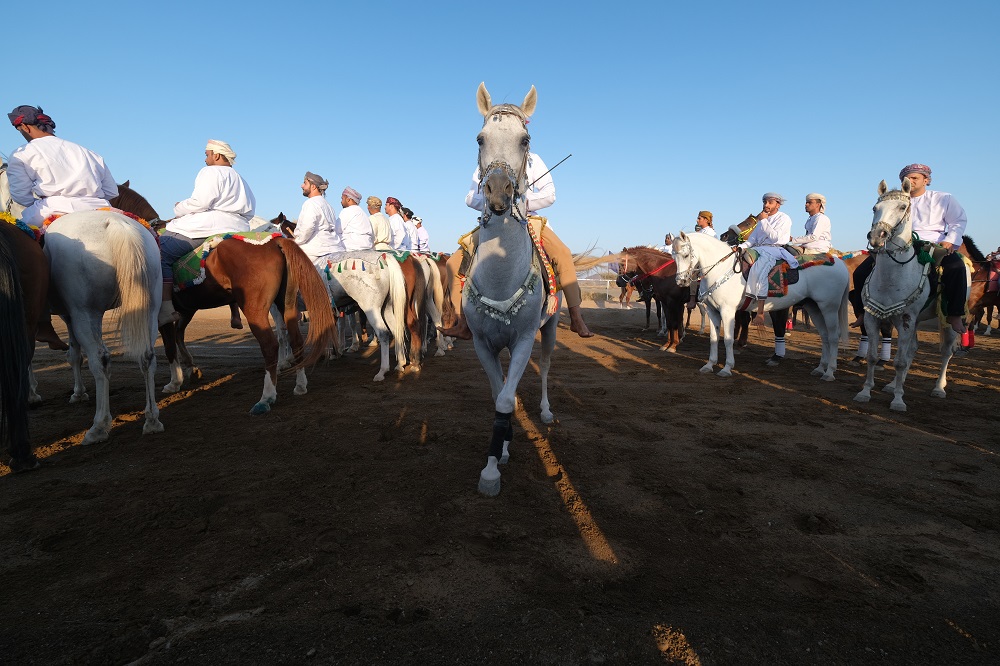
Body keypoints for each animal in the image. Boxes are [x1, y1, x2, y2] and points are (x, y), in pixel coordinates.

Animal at [108, 182, 336, 410]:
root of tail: (274, 243)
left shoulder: (161, 313)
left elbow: (170, 344)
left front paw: (175, 381)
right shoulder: (186, 309)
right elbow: (179, 335)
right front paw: (191, 368)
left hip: (255, 309)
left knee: (270, 345)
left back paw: (266, 397)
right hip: (286, 304)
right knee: (296, 339)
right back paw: (300, 384)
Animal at [672, 228, 844, 378]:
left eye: (686, 255)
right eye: (674, 256)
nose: (681, 281)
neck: (720, 269)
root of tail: (839, 263)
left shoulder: (728, 311)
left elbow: (727, 339)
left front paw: (727, 368)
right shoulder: (712, 311)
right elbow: (713, 338)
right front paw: (709, 365)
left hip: (829, 308)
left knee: (833, 337)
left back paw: (829, 372)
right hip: (813, 307)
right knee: (824, 336)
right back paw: (820, 368)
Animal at [852, 182, 968, 410]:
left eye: (902, 207)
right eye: (875, 208)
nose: (877, 236)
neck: (893, 276)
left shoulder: (905, 320)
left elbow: (899, 362)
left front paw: (898, 401)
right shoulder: (873, 318)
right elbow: (872, 357)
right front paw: (865, 392)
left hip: (947, 321)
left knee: (946, 351)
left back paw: (938, 388)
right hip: (915, 320)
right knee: (913, 348)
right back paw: (892, 385)